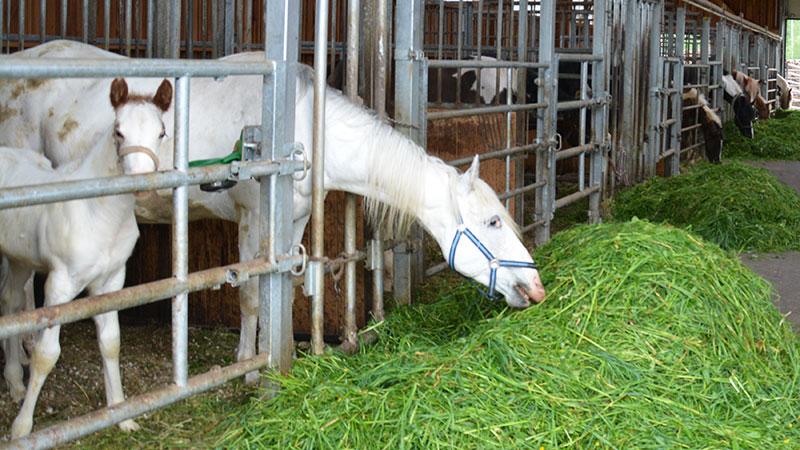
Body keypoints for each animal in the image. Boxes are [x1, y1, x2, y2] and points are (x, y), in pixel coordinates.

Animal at [0, 42, 548, 384]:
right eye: (492, 222)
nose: (536, 288)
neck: (297, 135)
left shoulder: (295, 224)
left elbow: (280, 290)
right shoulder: (252, 219)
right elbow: (249, 294)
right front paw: (249, 363)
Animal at [0, 77, 172, 440]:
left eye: (161, 132)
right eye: (118, 131)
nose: (141, 181)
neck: (99, 213)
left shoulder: (112, 282)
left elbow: (110, 343)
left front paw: (121, 413)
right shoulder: (60, 285)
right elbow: (45, 354)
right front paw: (22, 428)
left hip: (20, 258)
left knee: (10, 301)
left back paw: (15, 382)